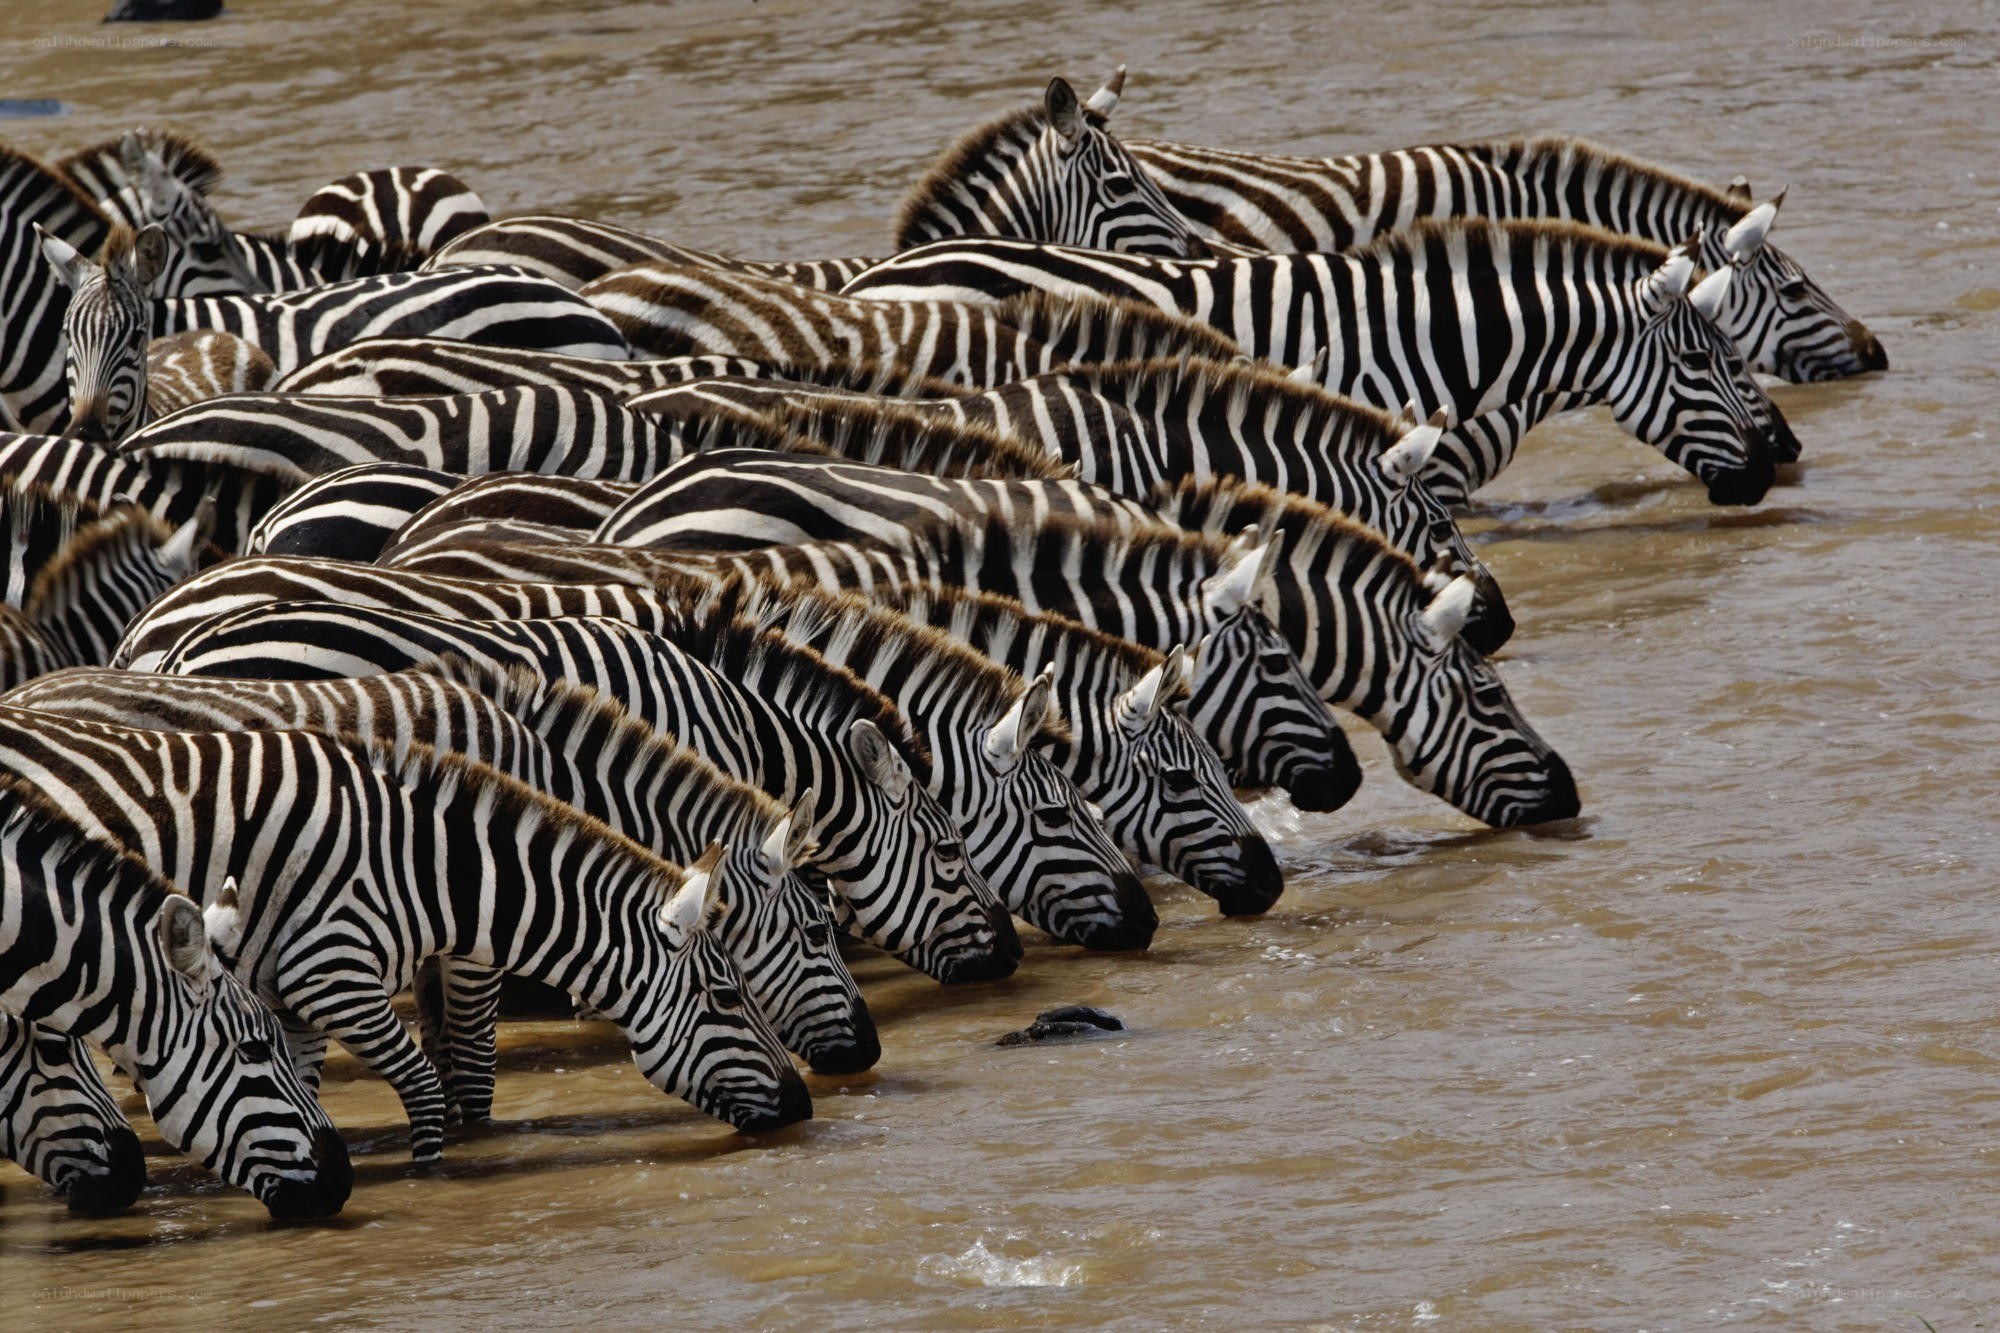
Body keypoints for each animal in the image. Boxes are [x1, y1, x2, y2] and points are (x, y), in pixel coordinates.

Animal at [4, 660, 877, 1087]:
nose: (868, 1052)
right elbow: (471, 1050)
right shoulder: (474, 924)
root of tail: (33, 682)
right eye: (817, 930)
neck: (549, 770)